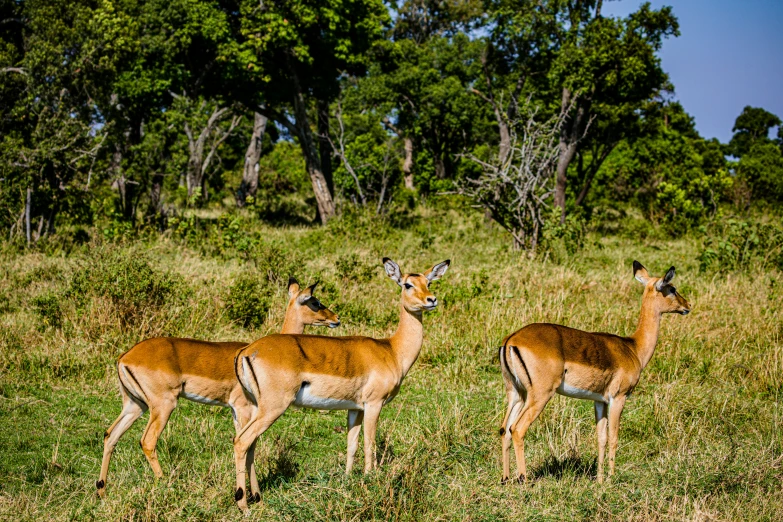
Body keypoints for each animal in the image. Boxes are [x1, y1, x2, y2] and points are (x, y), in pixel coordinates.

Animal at [95, 276, 340, 500]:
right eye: (314, 301)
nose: (336, 318)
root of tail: (124, 357)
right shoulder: (244, 408)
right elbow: (248, 445)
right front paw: (253, 496)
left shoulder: (238, 411)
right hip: (163, 405)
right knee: (147, 441)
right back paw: (166, 485)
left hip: (135, 405)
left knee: (110, 435)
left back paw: (102, 491)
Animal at [230, 258, 450, 510]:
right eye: (407, 284)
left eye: (428, 282)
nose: (431, 300)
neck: (392, 351)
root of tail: (247, 351)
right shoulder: (374, 404)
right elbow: (370, 444)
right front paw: (369, 480)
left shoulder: (355, 409)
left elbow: (351, 445)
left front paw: (347, 481)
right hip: (273, 407)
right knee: (241, 441)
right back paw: (243, 504)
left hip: (256, 408)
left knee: (250, 443)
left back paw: (256, 497)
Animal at [500, 260, 688, 484]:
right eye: (672, 288)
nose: (687, 306)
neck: (633, 347)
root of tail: (512, 340)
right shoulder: (618, 398)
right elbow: (614, 437)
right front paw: (611, 479)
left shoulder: (599, 401)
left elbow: (601, 438)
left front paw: (599, 479)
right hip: (540, 395)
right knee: (517, 429)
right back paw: (524, 479)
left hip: (517, 393)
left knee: (504, 429)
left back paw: (505, 479)